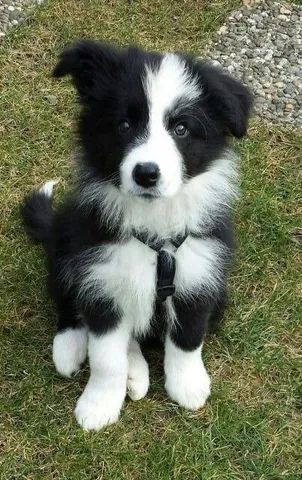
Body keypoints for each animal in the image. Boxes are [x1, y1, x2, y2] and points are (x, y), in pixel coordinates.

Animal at [21, 41, 252, 432]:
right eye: (124, 125)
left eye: (182, 129)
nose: (146, 173)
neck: (155, 235)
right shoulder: (101, 279)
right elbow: (105, 357)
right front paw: (98, 405)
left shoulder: (199, 276)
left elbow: (188, 338)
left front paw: (188, 385)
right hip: (68, 242)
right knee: (67, 301)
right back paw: (70, 349)